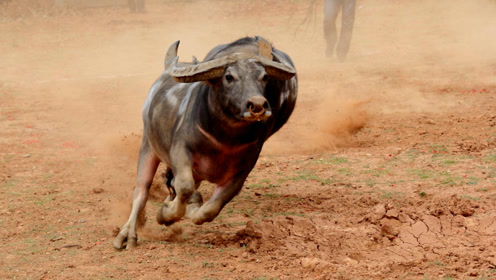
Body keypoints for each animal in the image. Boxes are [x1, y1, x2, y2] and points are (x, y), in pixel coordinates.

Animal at [114, 36, 296, 249]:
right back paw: (127, 236)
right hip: (148, 148)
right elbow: (184, 186)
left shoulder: (242, 171)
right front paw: (166, 213)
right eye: (229, 77)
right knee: (141, 191)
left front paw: (190, 209)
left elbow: (209, 210)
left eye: (264, 76)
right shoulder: (180, 151)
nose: (258, 105)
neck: (225, 139)